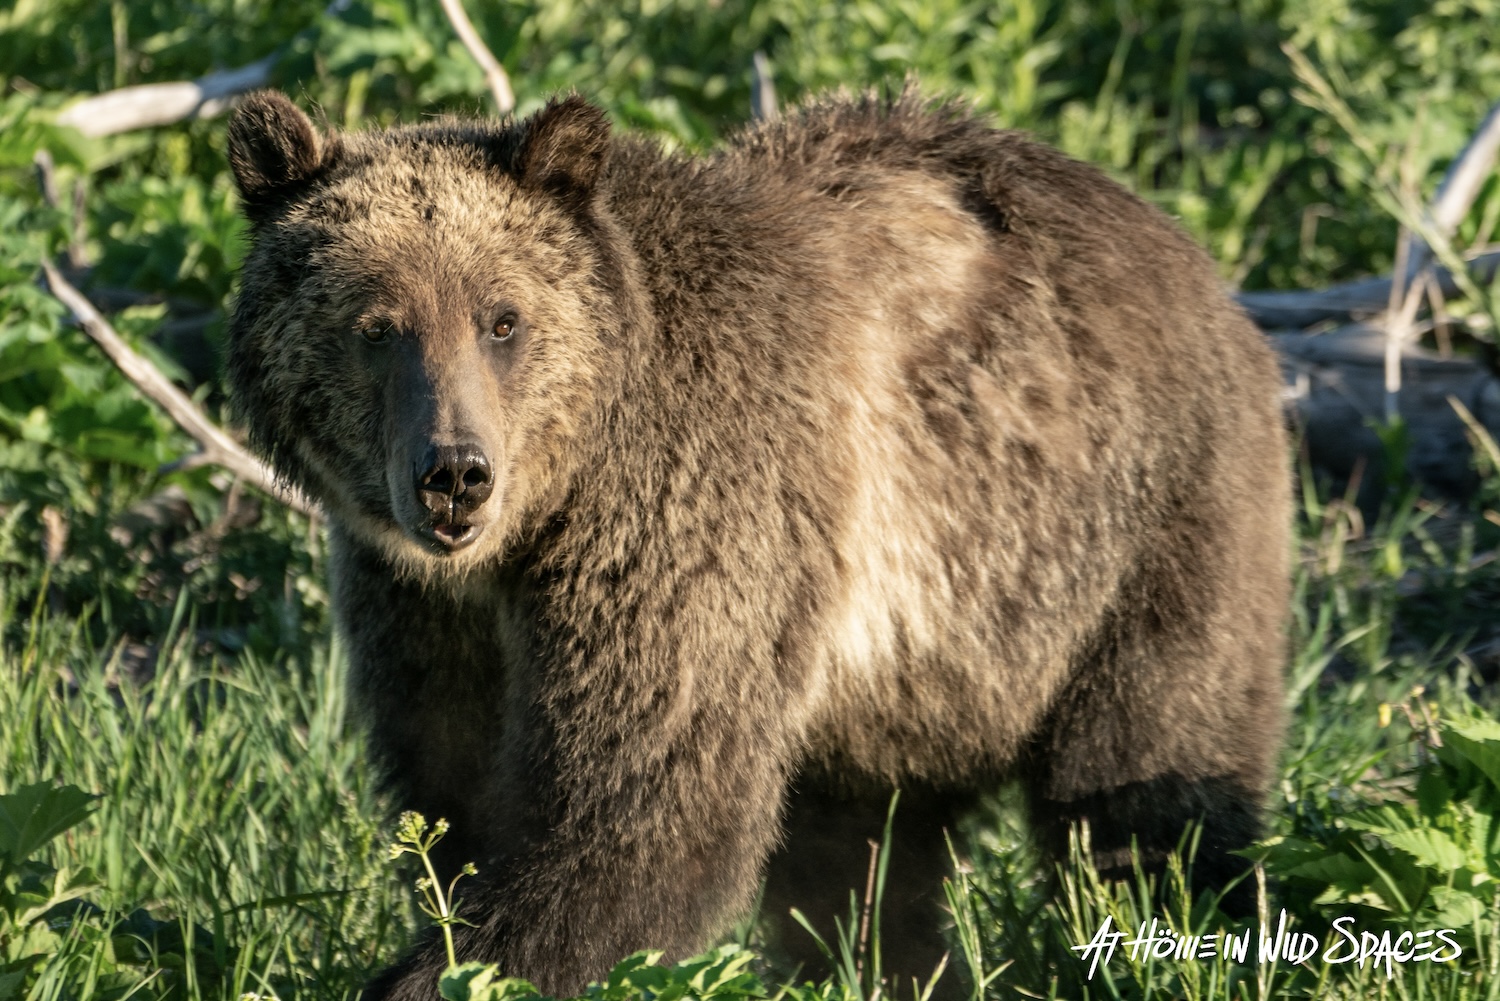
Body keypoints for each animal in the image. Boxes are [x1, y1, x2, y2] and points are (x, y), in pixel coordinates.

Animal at [224, 87, 1290, 999]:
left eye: (502, 318)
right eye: (376, 326)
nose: (455, 472)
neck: (546, 518)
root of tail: (1193, 257)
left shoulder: (686, 522)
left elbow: (640, 813)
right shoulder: (425, 611)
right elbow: (453, 798)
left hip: (1127, 529)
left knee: (1148, 784)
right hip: (907, 682)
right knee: (859, 860)